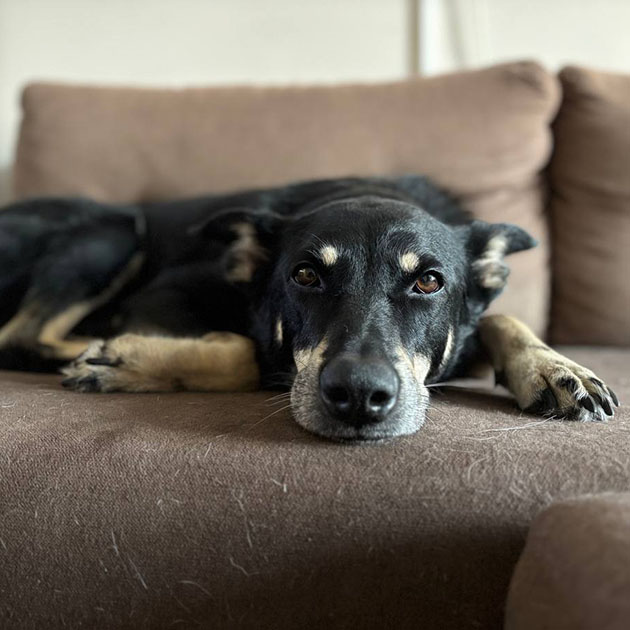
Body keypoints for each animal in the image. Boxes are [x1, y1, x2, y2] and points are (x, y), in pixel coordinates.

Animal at [0, 177, 620, 444]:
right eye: (304, 276)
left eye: (428, 281)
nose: (359, 397)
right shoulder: (158, 297)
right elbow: (246, 353)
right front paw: (124, 359)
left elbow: (496, 317)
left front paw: (554, 368)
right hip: (113, 229)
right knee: (21, 337)